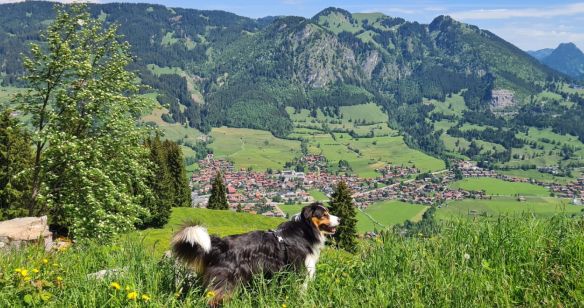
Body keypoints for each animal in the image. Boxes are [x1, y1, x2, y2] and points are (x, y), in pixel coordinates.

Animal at [169, 202, 340, 306]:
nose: (339, 219)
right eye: (324, 214)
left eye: (329, 212)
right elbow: (301, 291)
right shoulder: (300, 271)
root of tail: (220, 244)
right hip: (226, 281)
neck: (305, 230)